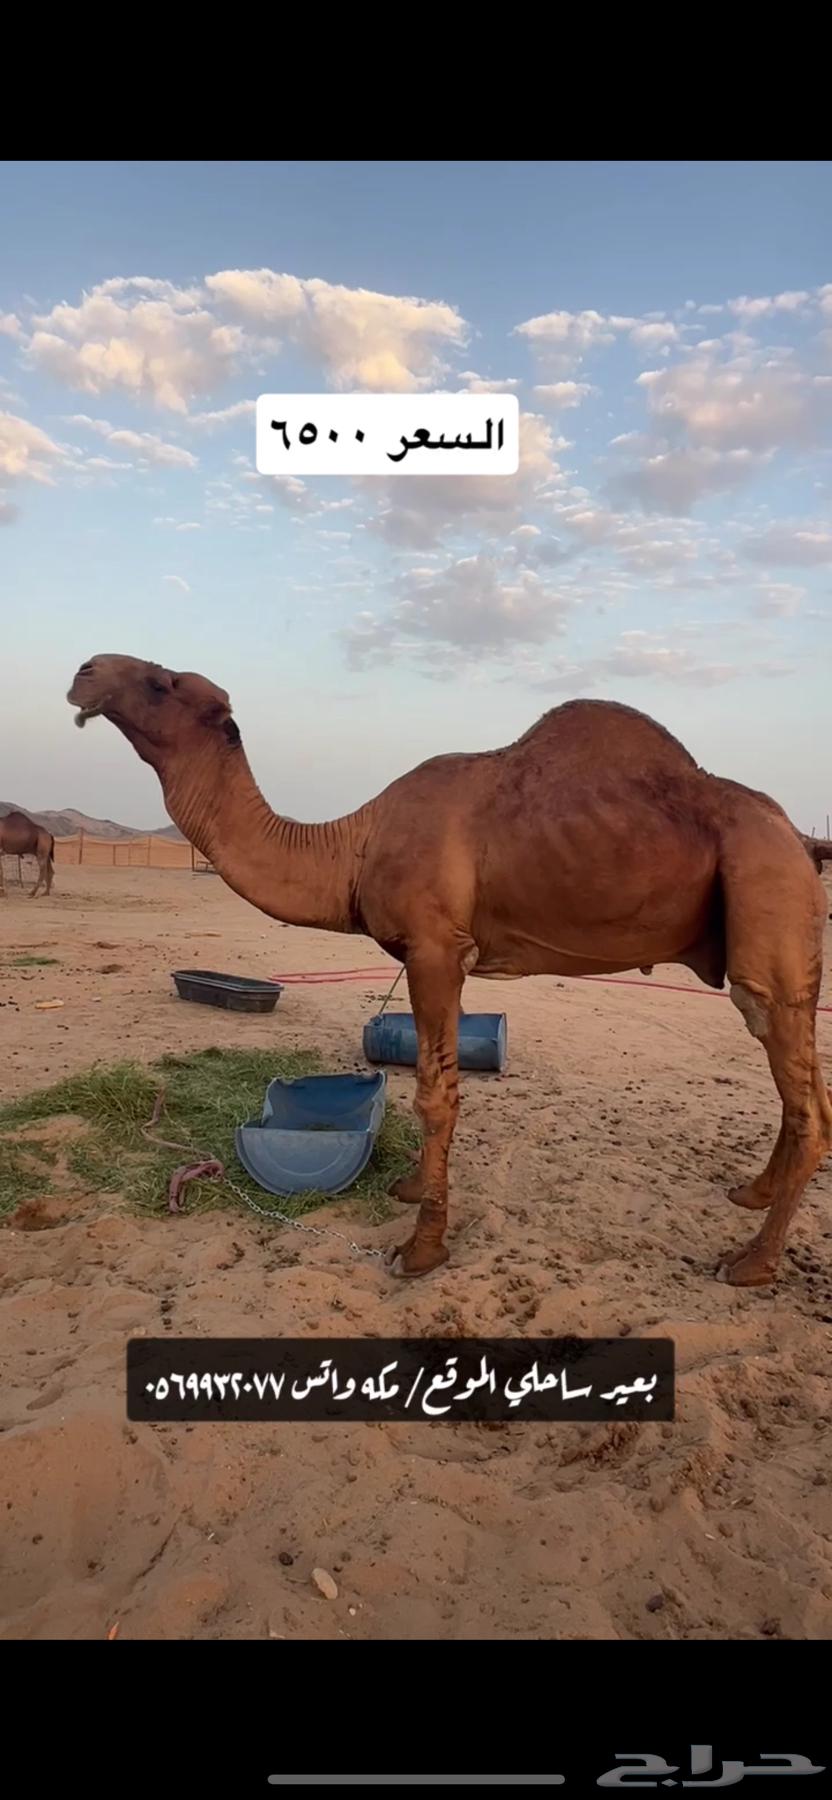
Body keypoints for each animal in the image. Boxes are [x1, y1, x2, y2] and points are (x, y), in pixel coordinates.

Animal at [67, 654, 832, 1290]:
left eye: (163, 682)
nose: (84, 671)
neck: (354, 845)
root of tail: (797, 837)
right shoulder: (426, 954)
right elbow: (437, 1077)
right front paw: (412, 1188)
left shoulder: (436, 948)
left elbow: (436, 1095)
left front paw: (420, 1248)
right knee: (805, 1092)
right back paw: (752, 1194)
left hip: (766, 894)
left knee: (801, 1088)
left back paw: (751, 1262)